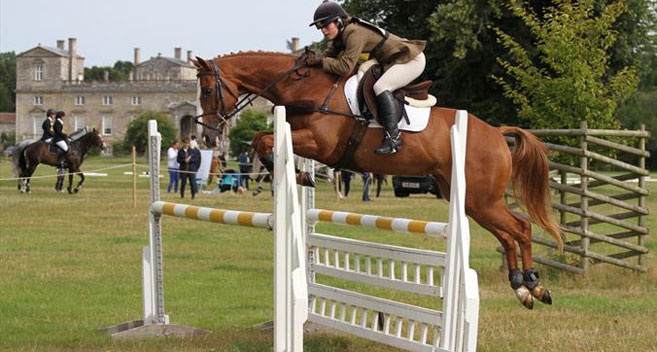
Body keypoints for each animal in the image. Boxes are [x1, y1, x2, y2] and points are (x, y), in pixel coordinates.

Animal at [191, 51, 564, 308]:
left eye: (207, 90)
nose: (208, 138)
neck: (305, 86)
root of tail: (497, 133)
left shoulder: (320, 143)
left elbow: (263, 140)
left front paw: (299, 174)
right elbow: (260, 138)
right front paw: (300, 174)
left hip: (479, 198)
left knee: (521, 228)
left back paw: (534, 285)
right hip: (470, 200)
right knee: (508, 235)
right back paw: (522, 288)